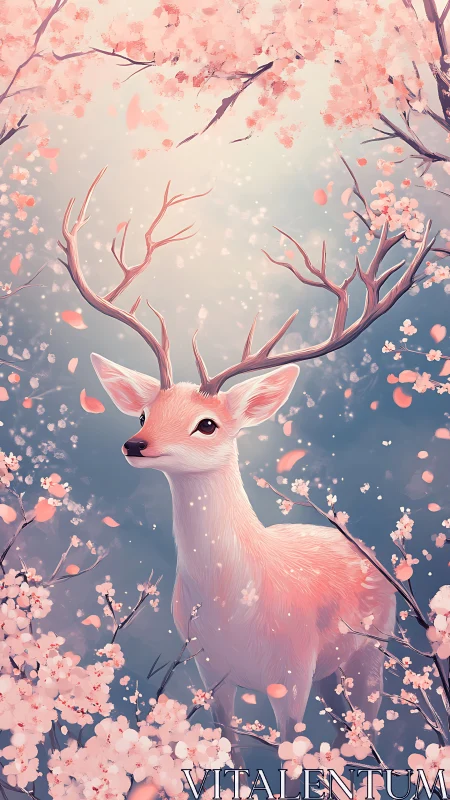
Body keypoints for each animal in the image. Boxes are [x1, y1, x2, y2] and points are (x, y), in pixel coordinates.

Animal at [57, 169, 435, 766]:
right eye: (144, 412)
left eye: (208, 424)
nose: (135, 444)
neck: (233, 606)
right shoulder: (211, 670)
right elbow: (231, 751)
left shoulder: (293, 672)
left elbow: (291, 760)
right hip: (330, 676)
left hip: (366, 657)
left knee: (362, 737)